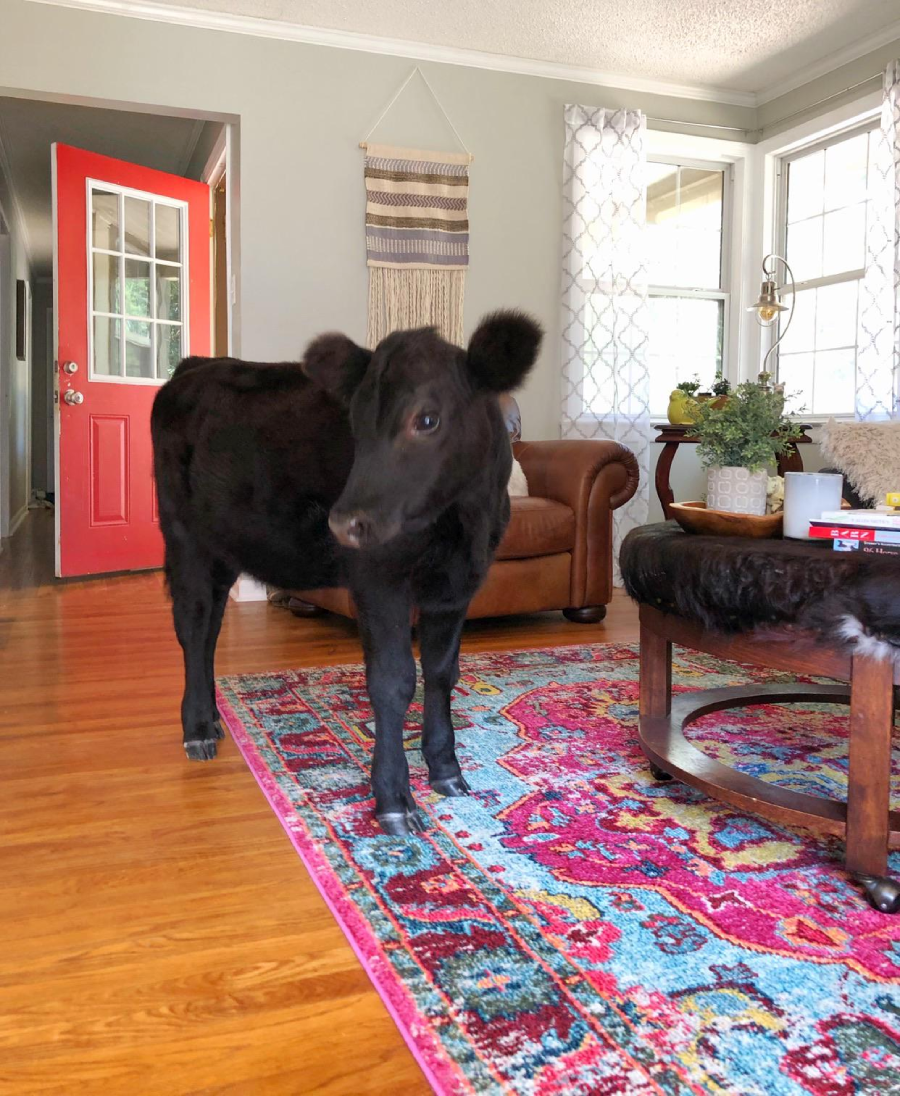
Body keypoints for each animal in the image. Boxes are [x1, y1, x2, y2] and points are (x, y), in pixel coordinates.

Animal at [151, 311, 542, 835]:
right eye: (355, 422)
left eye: (427, 419)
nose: (342, 522)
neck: (463, 523)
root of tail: (198, 365)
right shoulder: (379, 579)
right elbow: (394, 681)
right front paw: (394, 799)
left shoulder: (458, 586)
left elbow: (443, 672)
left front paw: (445, 769)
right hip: (184, 537)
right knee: (193, 627)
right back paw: (196, 730)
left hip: (225, 548)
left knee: (211, 627)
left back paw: (212, 717)